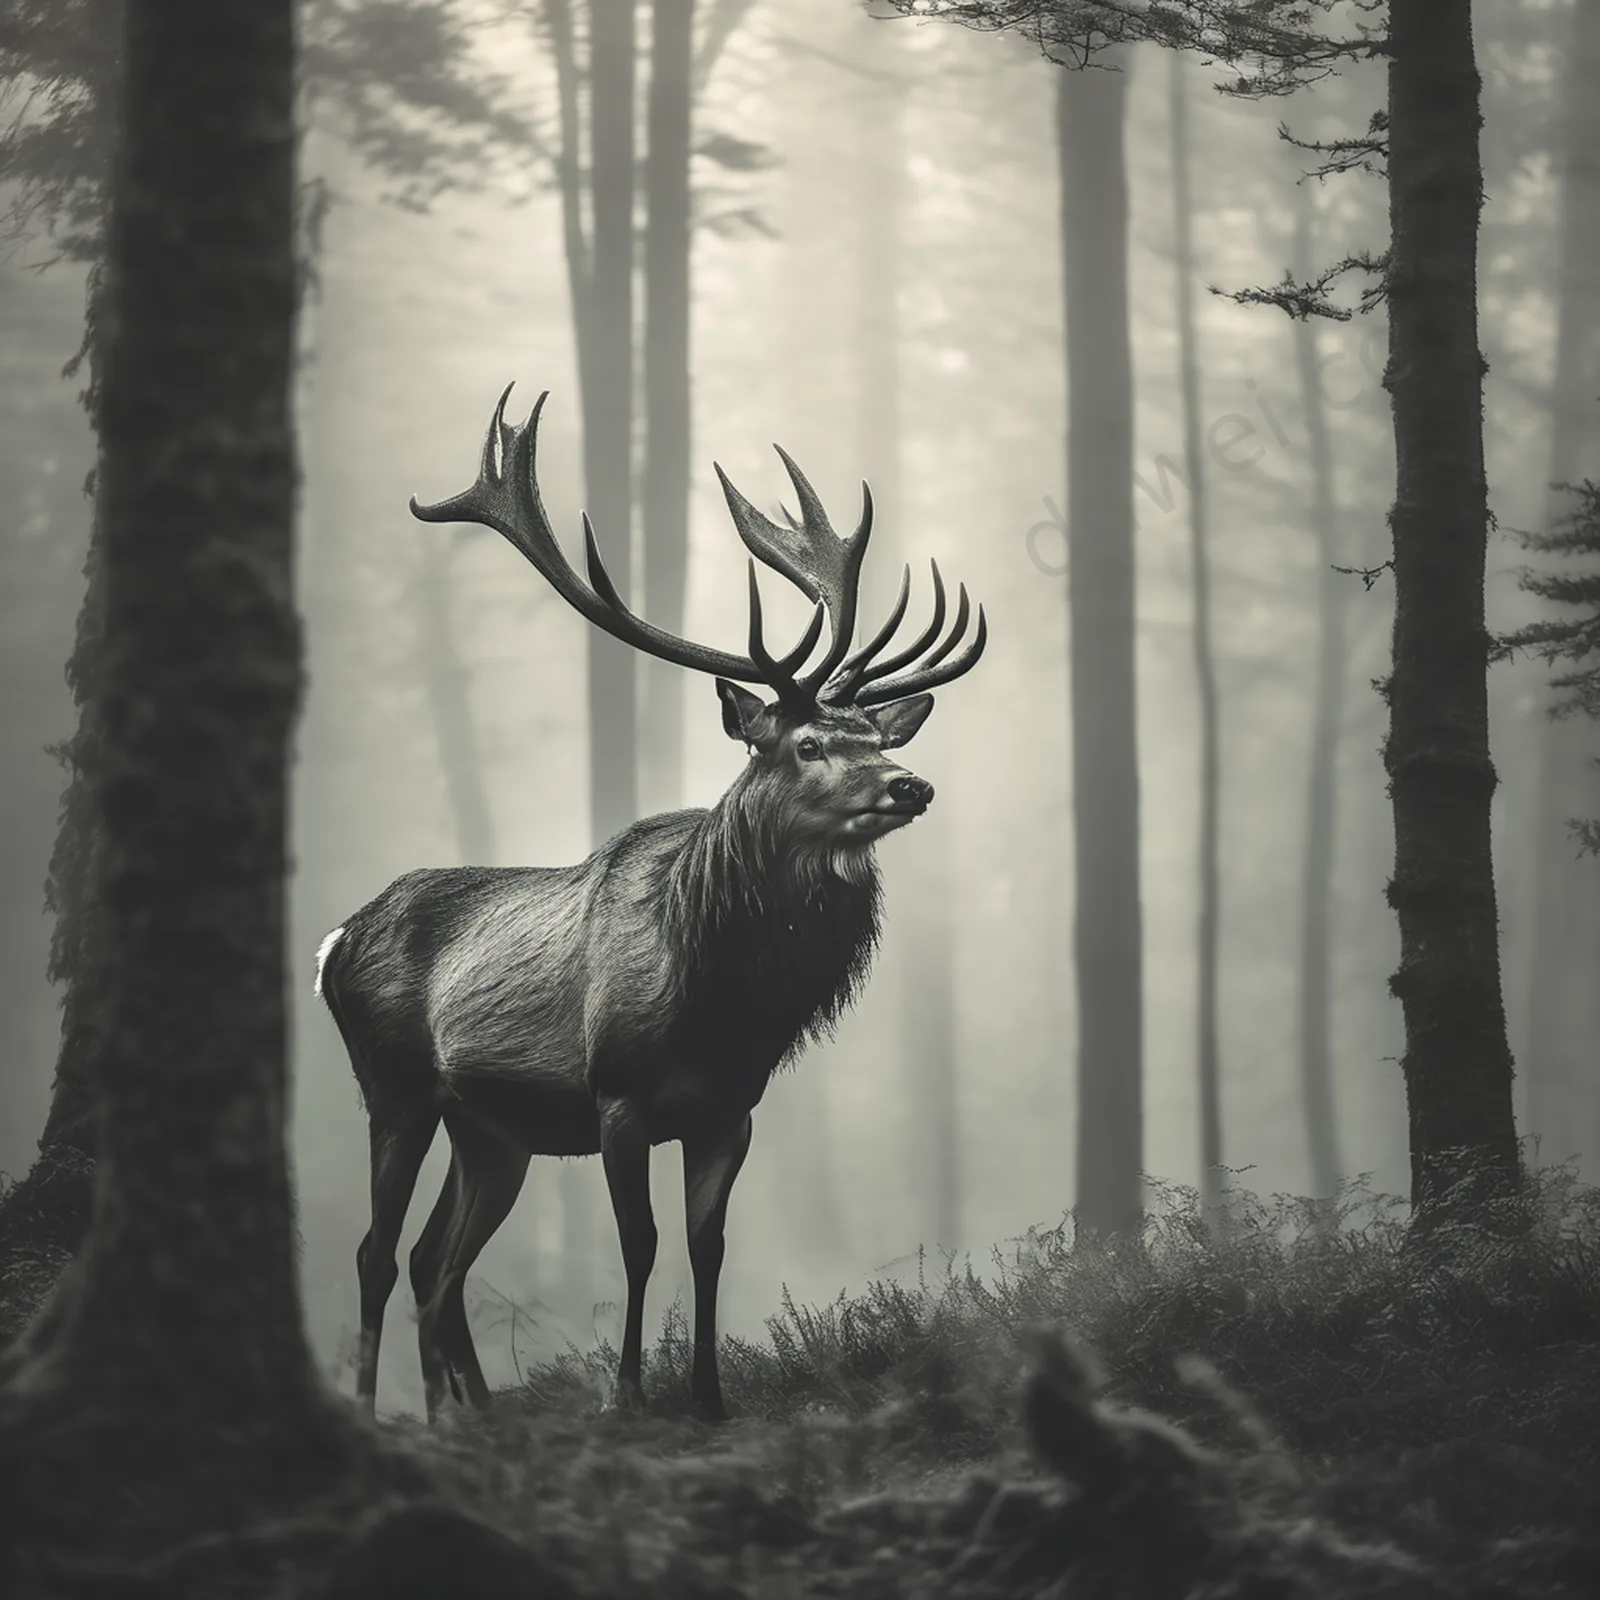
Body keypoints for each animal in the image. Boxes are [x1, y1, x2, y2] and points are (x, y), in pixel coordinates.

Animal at [315, 385, 986, 1422]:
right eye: (806, 744)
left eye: (874, 735)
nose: (909, 785)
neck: (718, 997)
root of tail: (333, 940)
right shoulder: (618, 1098)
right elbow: (640, 1246)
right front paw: (627, 1395)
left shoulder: (729, 1110)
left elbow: (708, 1248)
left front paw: (708, 1397)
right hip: (393, 1085)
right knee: (377, 1252)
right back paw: (376, 1410)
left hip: (491, 1131)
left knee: (437, 1261)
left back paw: (470, 1415)